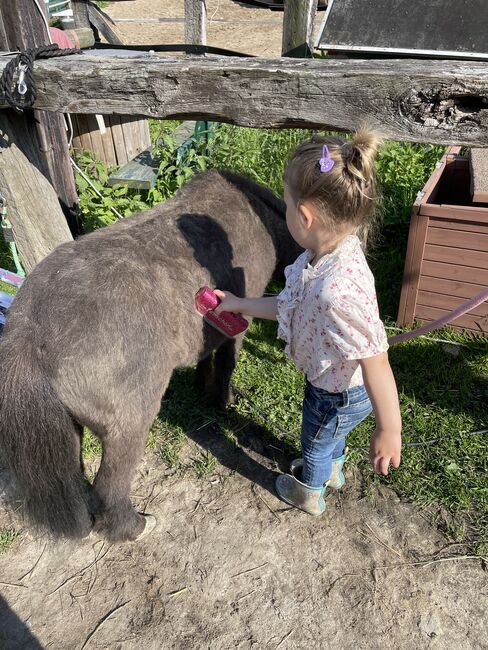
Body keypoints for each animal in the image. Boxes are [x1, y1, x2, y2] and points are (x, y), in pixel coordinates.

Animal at [0, 170, 302, 540]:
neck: (257, 211)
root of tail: (29, 336)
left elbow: (206, 358)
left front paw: (203, 389)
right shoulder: (237, 325)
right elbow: (226, 363)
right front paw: (224, 400)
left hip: (71, 429)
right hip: (128, 425)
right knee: (109, 487)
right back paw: (135, 527)